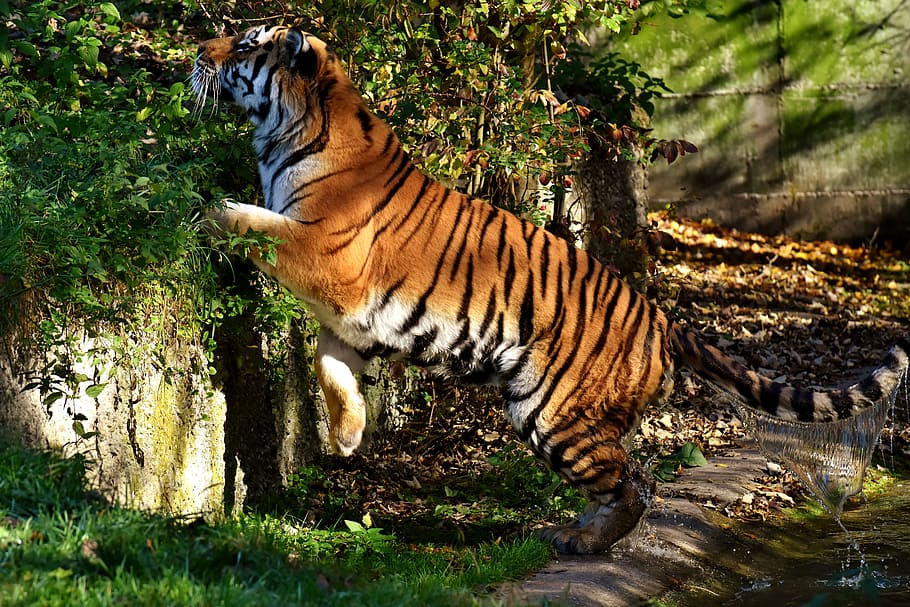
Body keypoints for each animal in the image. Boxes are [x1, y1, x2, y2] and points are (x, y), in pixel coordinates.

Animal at [192, 24, 910, 554]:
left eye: (248, 45)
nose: (198, 51)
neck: (290, 130)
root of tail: (660, 316)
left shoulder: (327, 258)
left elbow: (251, 221)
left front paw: (202, 212)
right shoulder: (352, 322)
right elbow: (329, 367)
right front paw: (347, 435)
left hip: (554, 411)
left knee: (636, 481)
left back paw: (584, 542)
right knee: (627, 476)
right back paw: (575, 532)